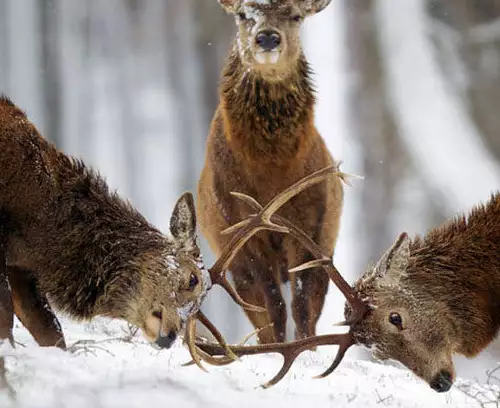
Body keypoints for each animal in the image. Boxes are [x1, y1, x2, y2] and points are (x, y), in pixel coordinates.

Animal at [196, 0, 344, 344]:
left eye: (296, 16)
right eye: (242, 14)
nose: (267, 37)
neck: (272, 173)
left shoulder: (311, 222)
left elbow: (303, 305)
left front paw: (307, 347)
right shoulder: (239, 224)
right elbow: (274, 305)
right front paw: (278, 347)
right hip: (232, 267)